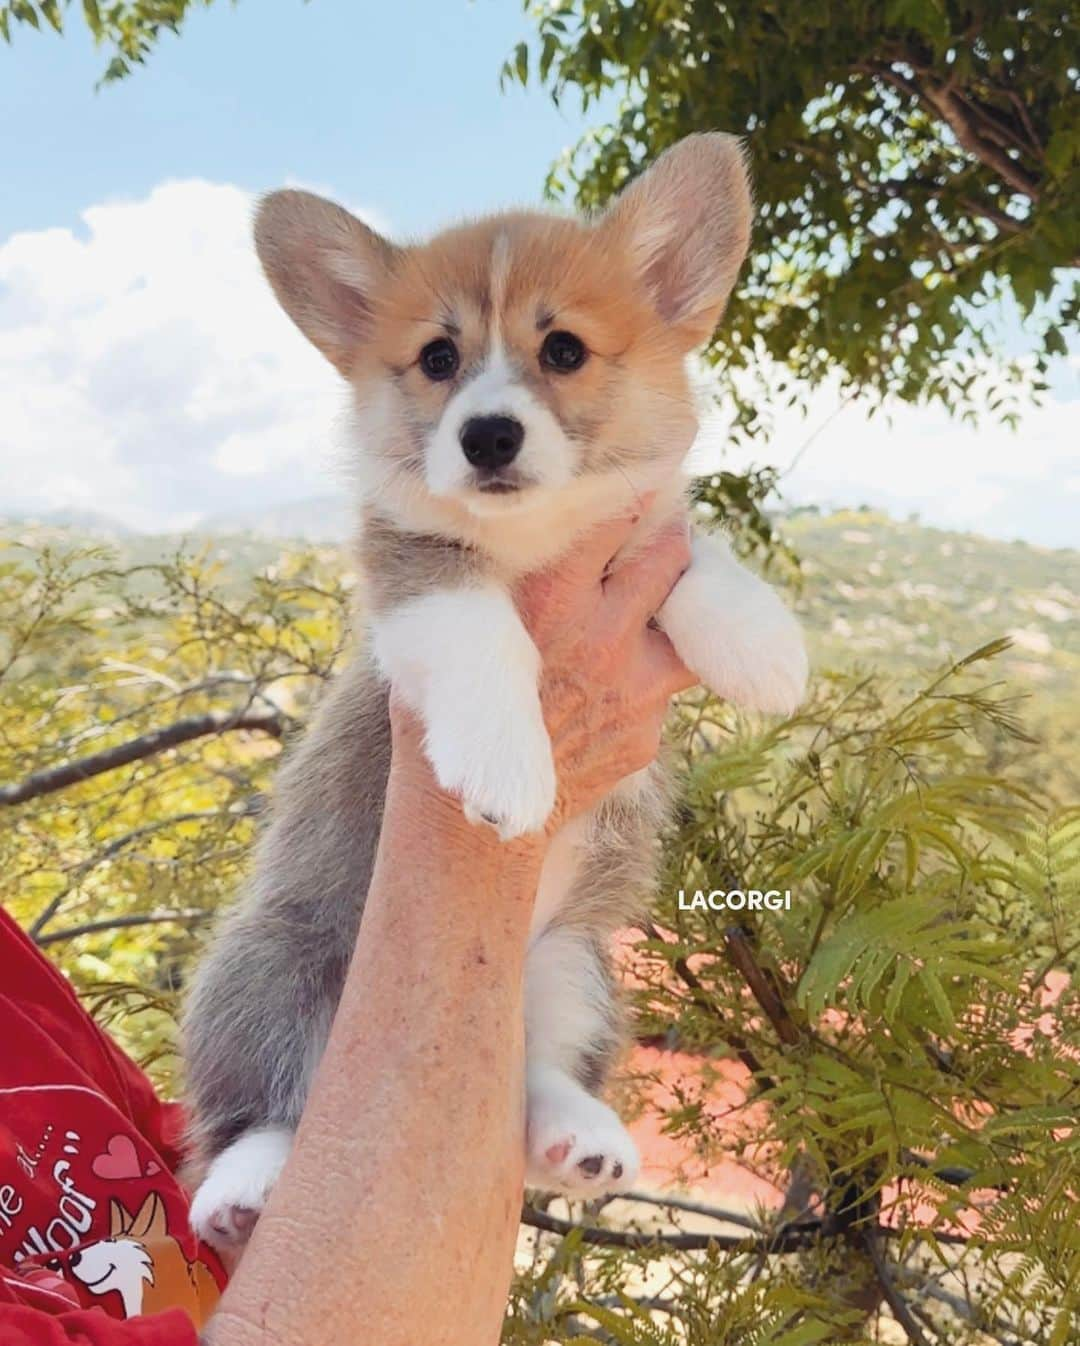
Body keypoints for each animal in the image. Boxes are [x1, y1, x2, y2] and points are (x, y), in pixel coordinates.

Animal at [185, 131, 802, 1243]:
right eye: (439, 359)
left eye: (563, 351)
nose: (488, 436)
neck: (536, 538)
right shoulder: (414, 570)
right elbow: (482, 634)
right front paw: (508, 769)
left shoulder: (643, 535)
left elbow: (697, 556)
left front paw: (765, 645)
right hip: (268, 970)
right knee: (263, 1108)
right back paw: (244, 1189)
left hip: (572, 966)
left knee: (534, 1074)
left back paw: (578, 1137)